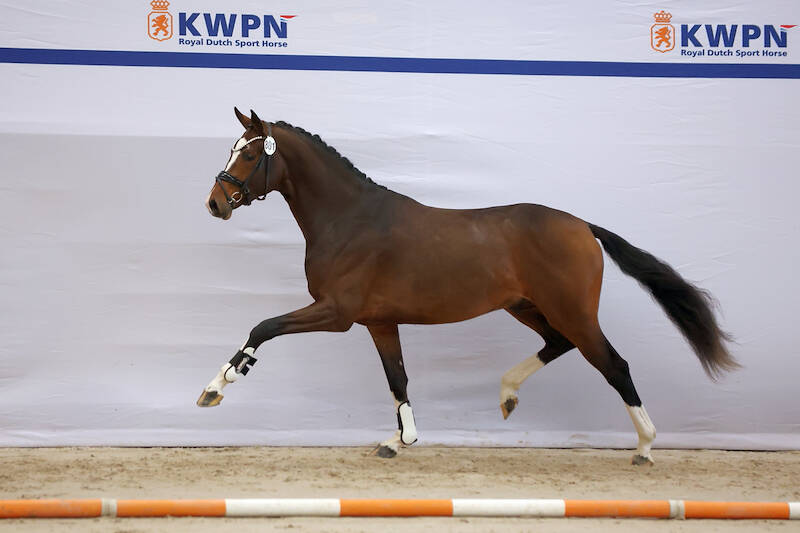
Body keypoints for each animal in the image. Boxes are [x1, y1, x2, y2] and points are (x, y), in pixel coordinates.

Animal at [198, 108, 737, 464]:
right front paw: (399, 441)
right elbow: (398, 379)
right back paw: (508, 394)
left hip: (573, 311)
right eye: (234, 149)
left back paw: (645, 446)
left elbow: (263, 326)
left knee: (614, 364)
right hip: (528, 307)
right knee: (557, 345)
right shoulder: (379, 322)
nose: (215, 204)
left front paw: (218, 386)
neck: (350, 220)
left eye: (250, 153)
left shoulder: (337, 313)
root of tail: (583, 226)